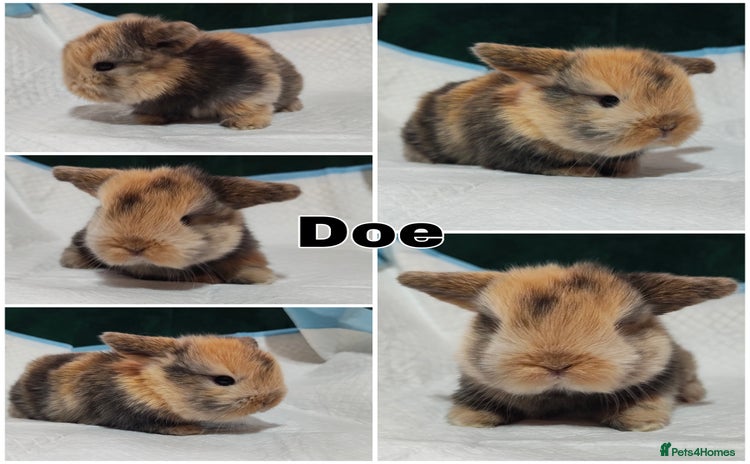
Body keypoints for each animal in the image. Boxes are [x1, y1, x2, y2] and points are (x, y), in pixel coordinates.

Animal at [62, 14, 303, 129]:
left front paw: (244, 124)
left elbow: (251, 105)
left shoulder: (248, 88)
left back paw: (293, 107)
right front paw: (147, 119)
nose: (71, 84)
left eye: (104, 66)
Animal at [398, 262, 737, 431]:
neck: (562, 396)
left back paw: (695, 394)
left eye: (626, 323)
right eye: (492, 322)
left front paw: (641, 423)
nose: (556, 363)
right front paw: (469, 420)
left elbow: (649, 399)